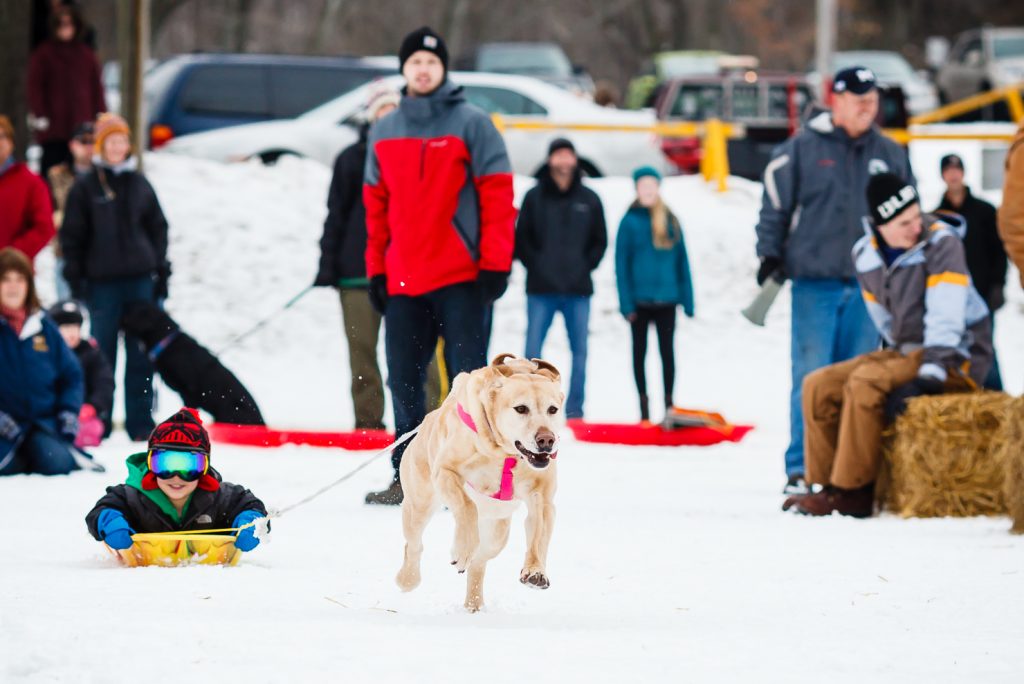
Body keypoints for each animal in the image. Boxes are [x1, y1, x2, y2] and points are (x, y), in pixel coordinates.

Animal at [120, 303, 266, 423]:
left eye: (131, 313)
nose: (119, 322)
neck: (168, 343)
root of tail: (262, 422)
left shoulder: (190, 392)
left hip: (229, 411)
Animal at [395, 356, 565, 610]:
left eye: (552, 409)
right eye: (521, 408)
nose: (546, 440)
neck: (505, 454)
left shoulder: (542, 497)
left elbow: (539, 534)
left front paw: (535, 570)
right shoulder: (446, 471)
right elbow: (466, 507)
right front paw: (462, 548)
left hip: (497, 533)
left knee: (478, 562)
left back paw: (473, 604)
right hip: (419, 506)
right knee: (414, 545)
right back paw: (408, 579)